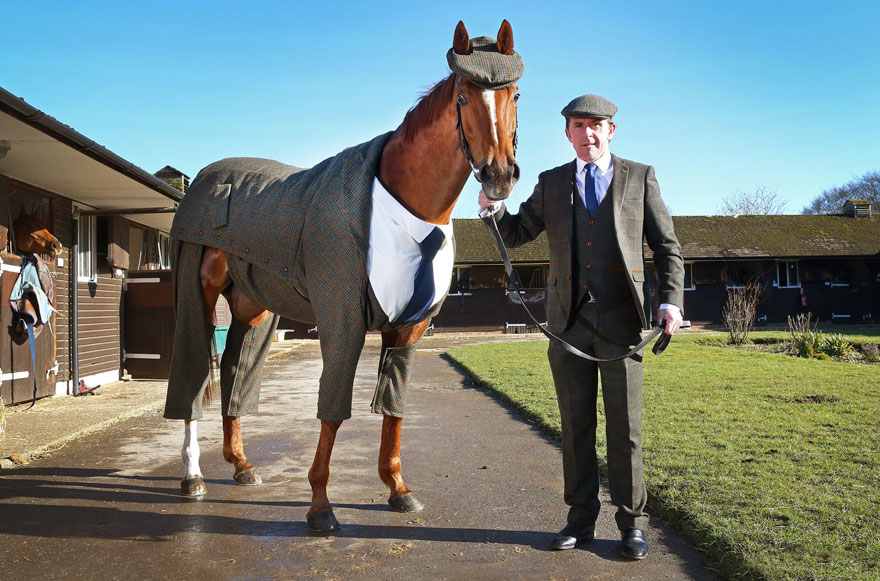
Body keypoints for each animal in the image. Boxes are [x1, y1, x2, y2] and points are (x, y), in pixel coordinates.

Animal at [168, 20, 521, 533]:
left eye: (515, 93)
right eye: (462, 96)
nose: (499, 176)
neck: (404, 209)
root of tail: (204, 180)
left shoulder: (408, 329)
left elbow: (393, 410)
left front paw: (398, 489)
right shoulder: (342, 322)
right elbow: (333, 411)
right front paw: (320, 506)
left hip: (254, 310)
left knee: (235, 376)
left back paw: (242, 465)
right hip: (198, 295)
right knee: (193, 378)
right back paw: (193, 475)